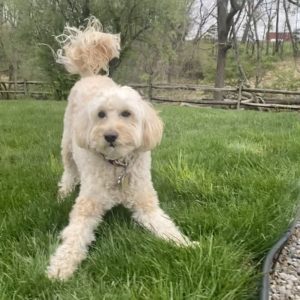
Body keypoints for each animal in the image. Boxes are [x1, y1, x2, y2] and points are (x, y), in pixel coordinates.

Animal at [47, 17, 196, 280]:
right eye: (101, 115)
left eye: (126, 113)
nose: (110, 135)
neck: (117, 165)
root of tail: (89, 76)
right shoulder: (87, 207)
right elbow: (74, 236)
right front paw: (61, 266)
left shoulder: (146, 203)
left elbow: (166, 225)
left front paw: (184, 244)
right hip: (67, 144)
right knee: (69, 172)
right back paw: (63, 192)